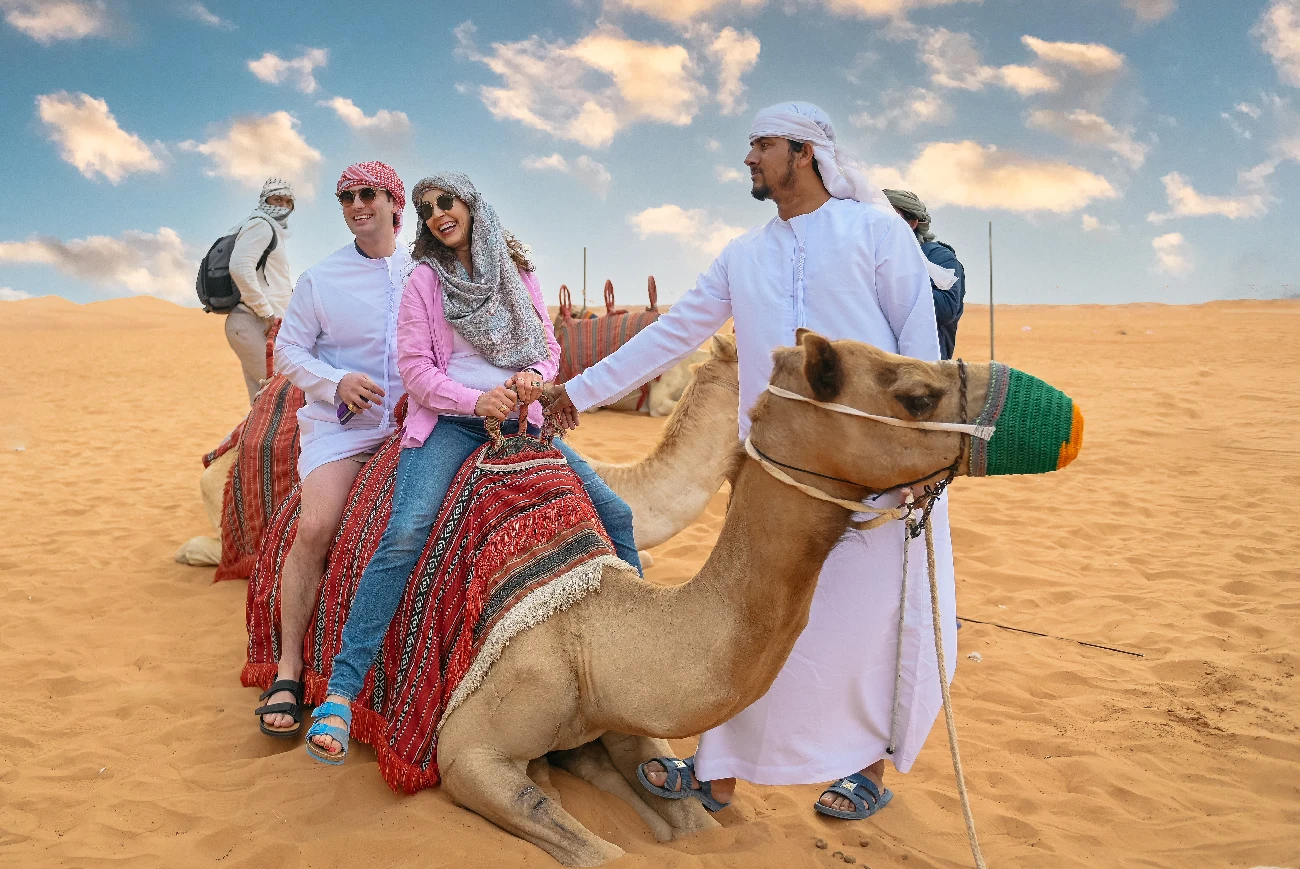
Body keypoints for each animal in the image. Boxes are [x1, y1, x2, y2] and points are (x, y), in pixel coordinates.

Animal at [431, 332, 1081, 866]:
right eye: (919, 396)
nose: (1072, 422)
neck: (591, 632)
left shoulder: (625, 717)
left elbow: (693, 824)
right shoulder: (466, 753)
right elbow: (597, 849)